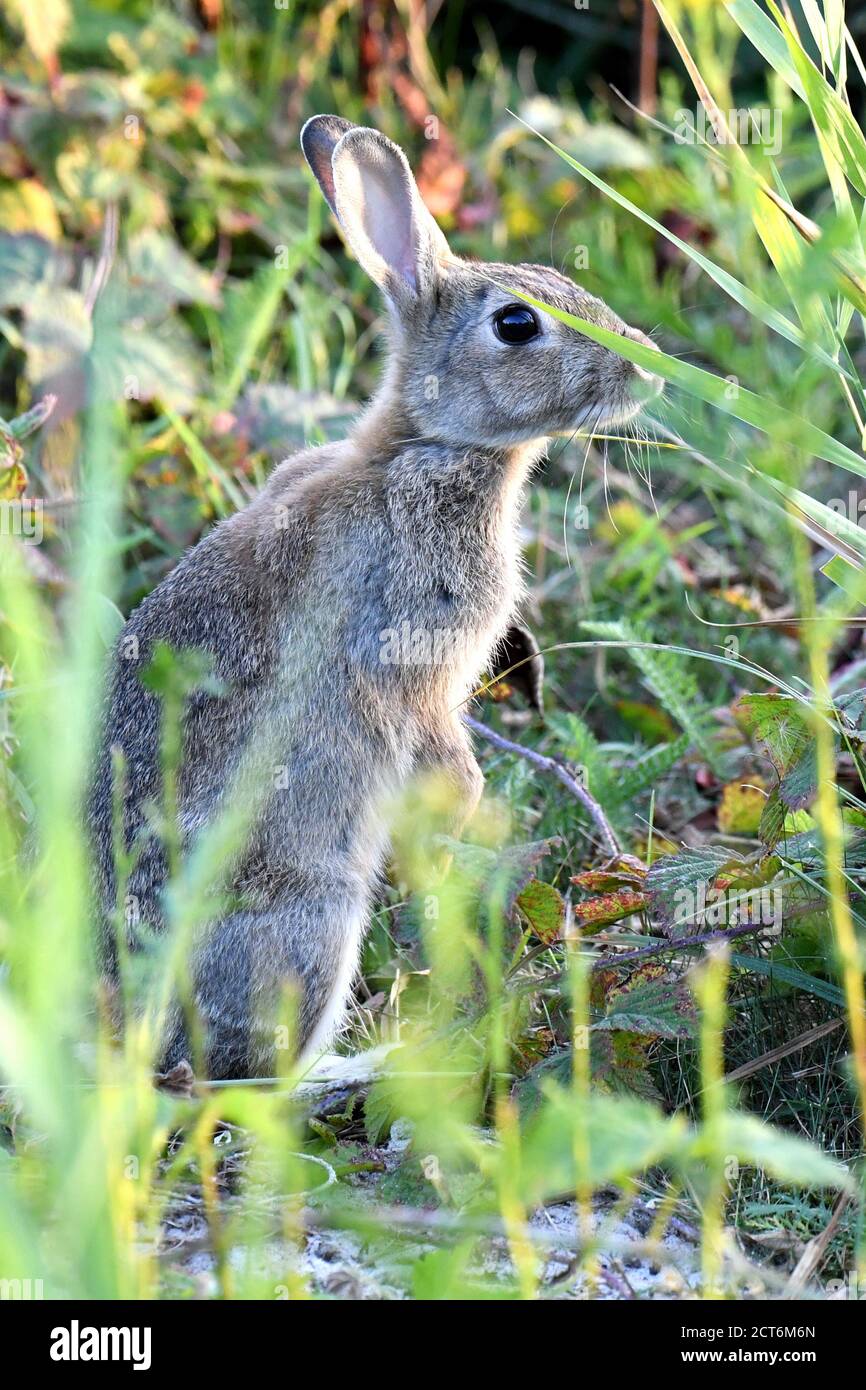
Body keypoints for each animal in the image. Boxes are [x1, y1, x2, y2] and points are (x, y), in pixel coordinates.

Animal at [87, 114, 662, 1080]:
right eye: (517, 323)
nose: (647, 367)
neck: (423, 444)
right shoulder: (410, 660)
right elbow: (431, 735)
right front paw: (470, 807)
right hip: (311, 923)